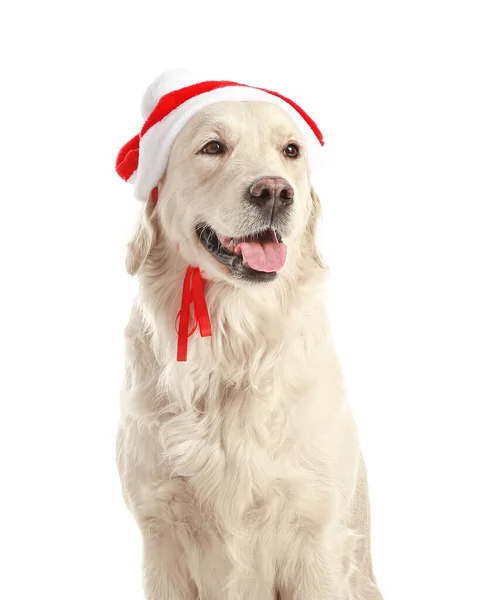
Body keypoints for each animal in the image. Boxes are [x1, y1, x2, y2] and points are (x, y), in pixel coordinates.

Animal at [116, 74, 384, 600]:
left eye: (291, 150)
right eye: (213, 147)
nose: (275, 191)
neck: (232, 342)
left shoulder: (316, 537)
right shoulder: (160, 534)